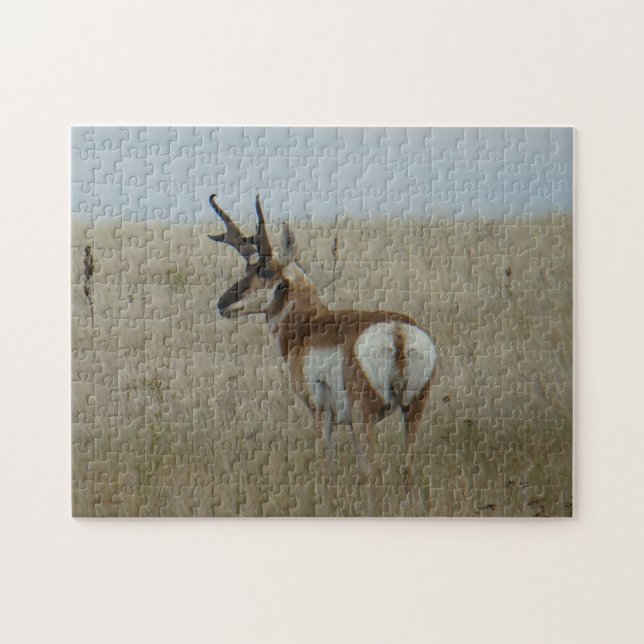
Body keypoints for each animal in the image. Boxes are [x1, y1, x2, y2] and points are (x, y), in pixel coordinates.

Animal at [207, 193, 437, 490]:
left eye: (263, 270)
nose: (222, 303)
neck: (310, 324)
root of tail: (398, 332)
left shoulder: (321, 415)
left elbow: (326, 466)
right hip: (413, 410)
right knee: (407, 471)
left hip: (365, 416)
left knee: (374, 471)